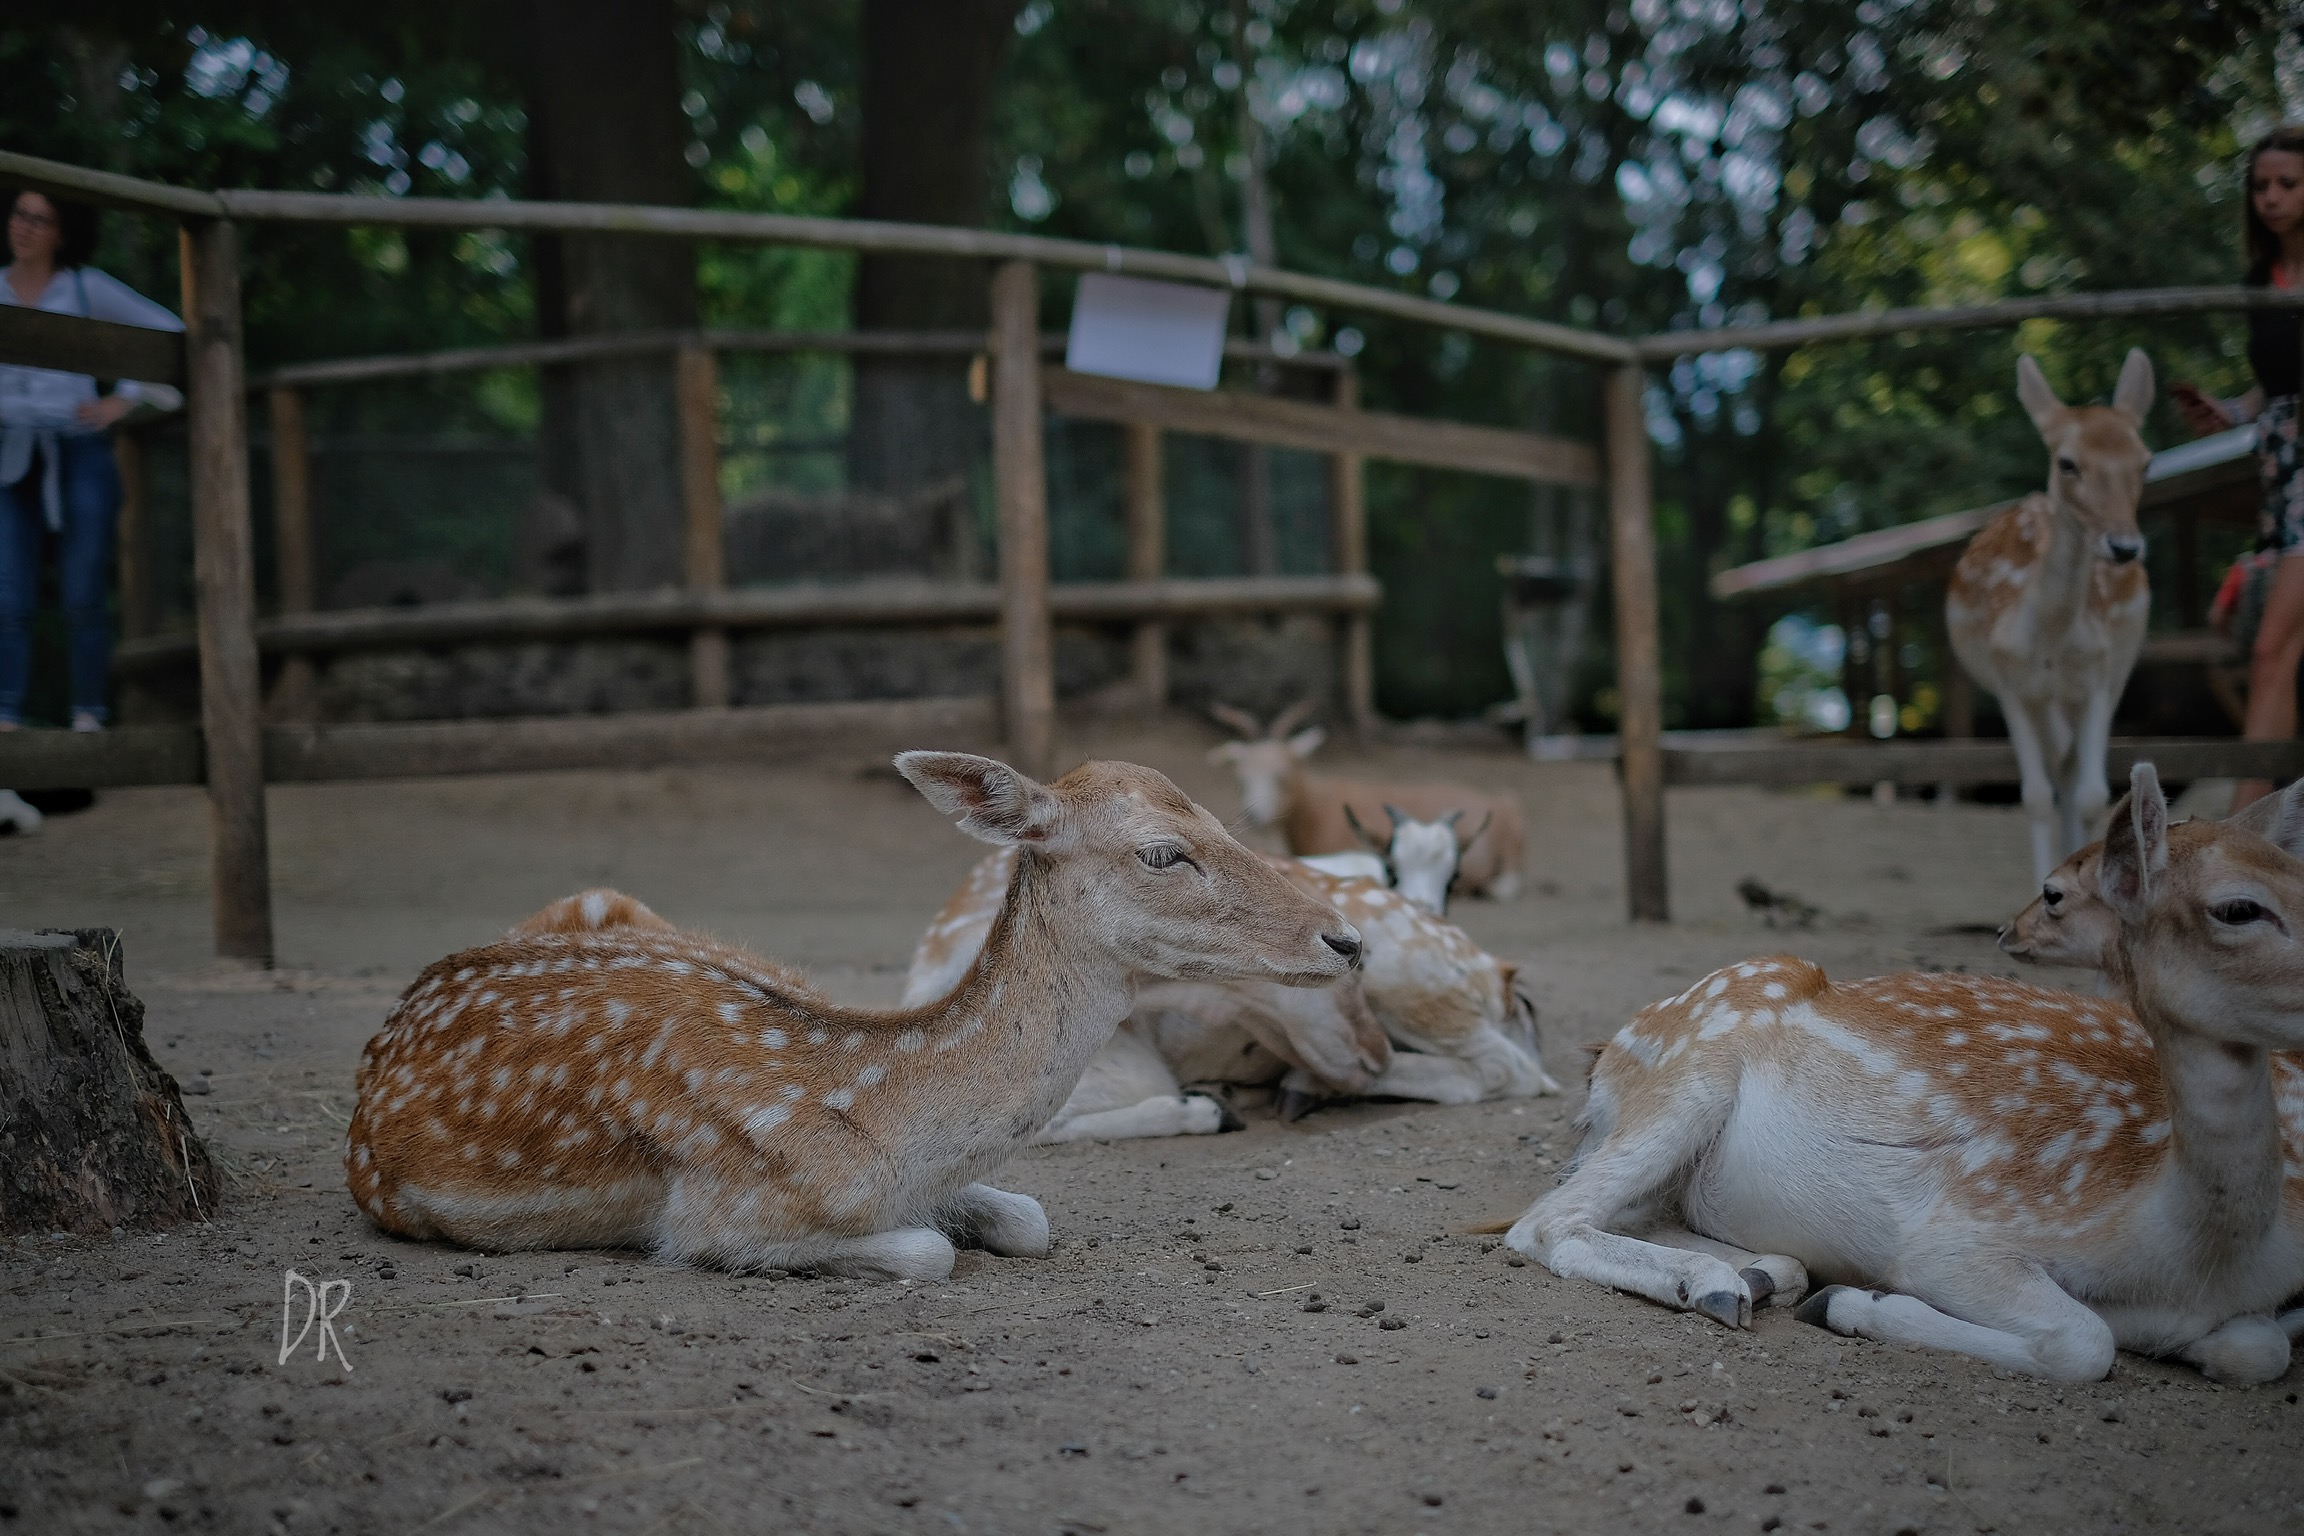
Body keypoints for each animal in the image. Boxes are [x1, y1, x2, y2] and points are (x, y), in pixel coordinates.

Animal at [344, 752, 1363, 1281]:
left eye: (1228, 823)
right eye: (1161, 853)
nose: (1347, 939)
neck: (883, 1119)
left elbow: (1028, 1218)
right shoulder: (720, 1217)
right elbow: (926, 1251)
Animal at [1500, 763, 2304, 1384]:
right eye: (2238, 908)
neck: (2193, 1252)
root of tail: (1605, 1057)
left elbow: (2255, 1346)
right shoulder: (1961, 1236)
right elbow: (2085, 1342)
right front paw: (1855, 1307)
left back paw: (1758, 1276)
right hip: (1689, 1078)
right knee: (1545, 1220)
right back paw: (1722, 1286)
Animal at [1945, 349, 2155, 885]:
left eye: (2145, 460)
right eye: (2068, 462)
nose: (2124, 546)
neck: (2051, 642)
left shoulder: (2099, 675)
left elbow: (2092, 796)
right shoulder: (2009, 684)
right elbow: (2036, 797)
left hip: (2118, 671)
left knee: (2071, 773)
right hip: (2041, 700)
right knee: (2057, 770)